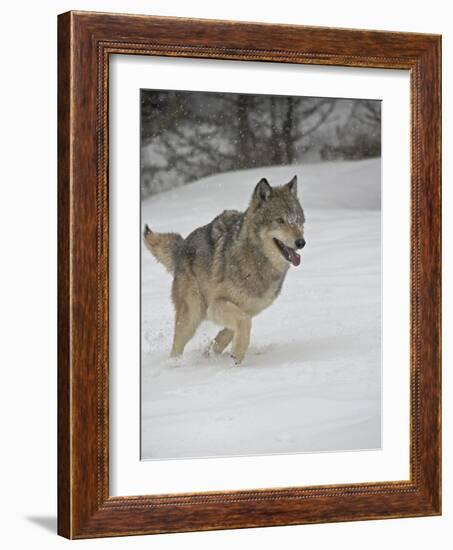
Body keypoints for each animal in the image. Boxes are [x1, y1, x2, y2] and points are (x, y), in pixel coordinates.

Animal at [143, 178, 306, 366]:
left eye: (298, 220)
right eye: (280, 220)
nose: (301, 242)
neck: (256, 259)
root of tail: (183, 246)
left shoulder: (251, 308)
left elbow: (233, 328)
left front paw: (215, 350)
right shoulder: (215, 305)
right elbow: (244, 322)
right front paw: (237, 356)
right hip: (192, 313)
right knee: (176, 346)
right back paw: (174, 364)